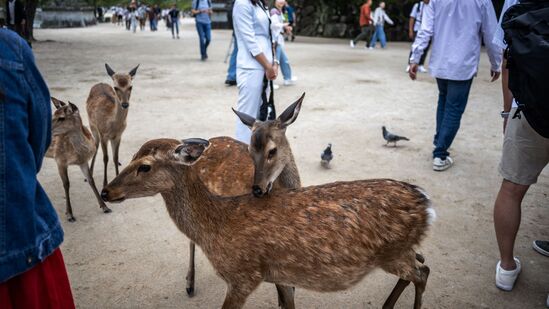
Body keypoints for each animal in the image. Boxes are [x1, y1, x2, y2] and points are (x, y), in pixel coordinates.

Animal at [101, 135, 436, 308]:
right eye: (129, 156)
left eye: (145, 166)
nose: (106, 191)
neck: (217, 224)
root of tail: (426, 204)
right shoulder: (280, 275)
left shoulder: (244, 275)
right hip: (398, 251)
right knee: (422, 266)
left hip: (394, 251)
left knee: (422, 272)